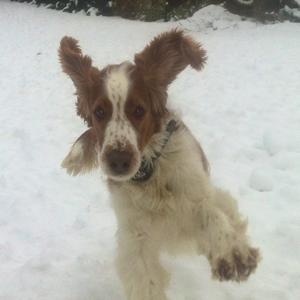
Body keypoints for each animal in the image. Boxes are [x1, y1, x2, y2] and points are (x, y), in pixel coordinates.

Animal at [59, 29, 260, 300]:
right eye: (99, 112)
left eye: (139, 110)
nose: (118, 161)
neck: (151, 174)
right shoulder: (135, 237)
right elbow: (146, 280)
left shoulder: (196, 195)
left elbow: (212, 215)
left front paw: (231, 252)